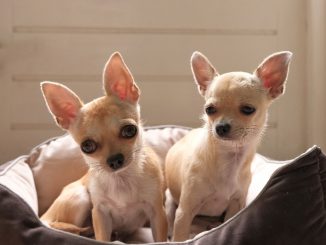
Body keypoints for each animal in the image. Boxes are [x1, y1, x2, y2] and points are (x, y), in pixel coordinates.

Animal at [40, 52, 167, 242]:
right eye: (87, 146)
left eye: (129, 130)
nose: (114, 160)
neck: (122, 180)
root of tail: (43, 216)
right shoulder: (100, 213)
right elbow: (102, 238)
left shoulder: (157, 211)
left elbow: (160, 238)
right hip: (80, 197)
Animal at [166, 50, 292, 240]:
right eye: (209, 109)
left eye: (248, 109)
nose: (221, 127)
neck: (229, 157)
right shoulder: (184, 212)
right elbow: (180, 236)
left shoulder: (235, 206)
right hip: (169, 202)